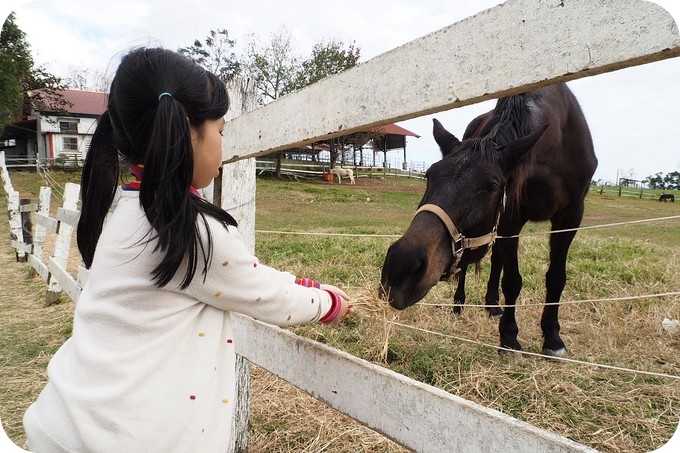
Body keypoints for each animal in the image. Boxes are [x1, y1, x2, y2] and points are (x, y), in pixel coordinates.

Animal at [380, 83, 596, 354]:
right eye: (429, 175)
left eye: (491, 187)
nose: (400, 268)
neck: (556, 144)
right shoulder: (511, 218)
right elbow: (512, 280)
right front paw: (509, 336)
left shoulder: (570, 217)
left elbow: (555, 277)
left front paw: (552, 337)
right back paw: (459, 303)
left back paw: (493, 305)